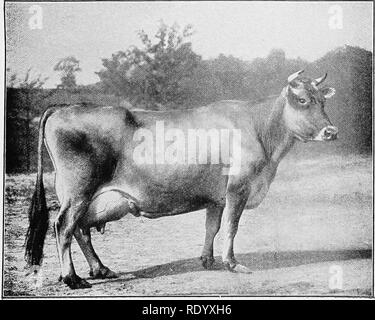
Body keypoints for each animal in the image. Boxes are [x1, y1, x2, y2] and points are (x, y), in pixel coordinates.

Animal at [25, 70, 340, 290]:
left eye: (323, 101)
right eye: (303, 100)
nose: (331, 131)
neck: (260, 129)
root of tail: (64, 107)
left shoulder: (216, 197)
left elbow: (212, 227)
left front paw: (208, 261)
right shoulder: (238, 188)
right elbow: (232, 226)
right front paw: (232, 263)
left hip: (90, 197)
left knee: (81, 229)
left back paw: (100, 269)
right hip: (78, 191)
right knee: (64, 226)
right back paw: (72, 278)